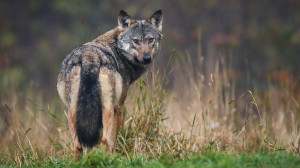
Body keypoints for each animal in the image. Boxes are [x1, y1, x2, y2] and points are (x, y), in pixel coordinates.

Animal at [57, 10, 163, 158]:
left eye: (150, 40)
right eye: (135, 41)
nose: (147, 58)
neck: (118, 50)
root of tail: (90, 58)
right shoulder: (118, 107)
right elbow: (113, 139)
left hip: (73, 111)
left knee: (78, 145)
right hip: (107, 109)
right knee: (105, 141)